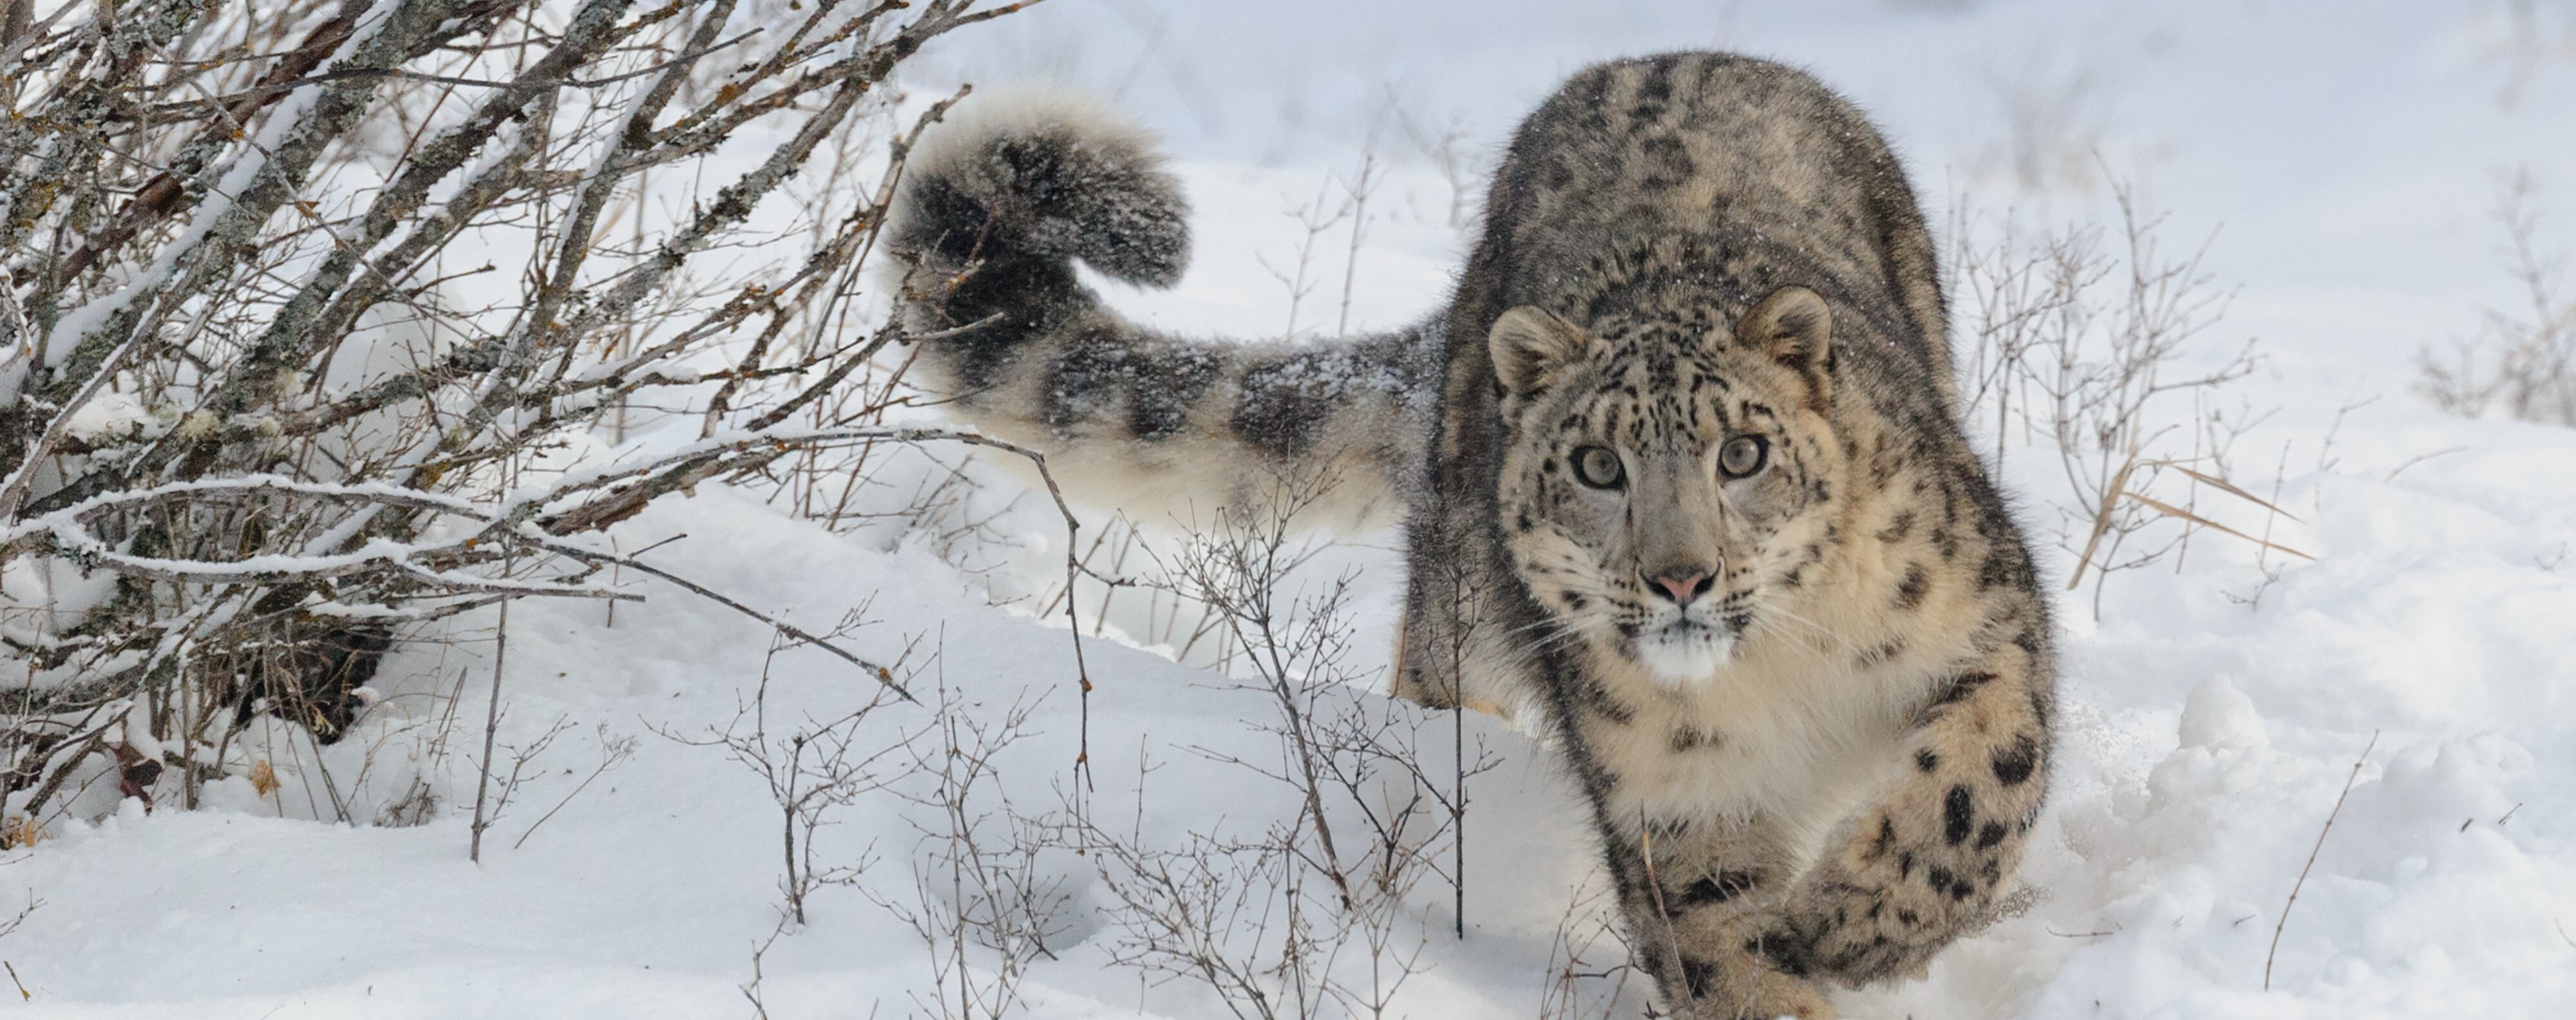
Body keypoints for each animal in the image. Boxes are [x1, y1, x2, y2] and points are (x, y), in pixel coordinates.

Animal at [896, 52, 2061, 1015]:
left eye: (1743, 454)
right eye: (1599, 466)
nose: (1682, 578)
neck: (1777, 671)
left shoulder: (1988, 612)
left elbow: (1981, 780)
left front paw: (1857, 922)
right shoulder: (1676, 799)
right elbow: (1727, 954)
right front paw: (1812, 949)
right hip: (1462, 618)